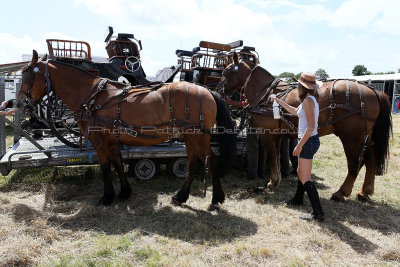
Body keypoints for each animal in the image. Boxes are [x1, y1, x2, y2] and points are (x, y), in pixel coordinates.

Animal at [17, 50, 236, 211]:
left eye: (28, 74)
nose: (19, 103)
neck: (93, 97)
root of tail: (208, 91)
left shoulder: (99, 141)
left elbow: (106, 167)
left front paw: (106, 197)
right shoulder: (113, 140)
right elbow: (118, 165)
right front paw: (124, 193)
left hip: (198, 137)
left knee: (210, 162)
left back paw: (215, 199)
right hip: (191, 138)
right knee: (193, 165)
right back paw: (180, 197)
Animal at [219, 52, 390, 203]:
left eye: (225, 72)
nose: (220, 90)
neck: (266, 94)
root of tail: (375, 92)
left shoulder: (267, 135)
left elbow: (272, 159)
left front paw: (272, 183)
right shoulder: (278, 136)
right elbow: (277, 159)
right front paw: (276, 180)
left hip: (351, 138)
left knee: (355, 164)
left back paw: (341, 193)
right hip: (366, 136)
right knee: (371, 159)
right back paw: (365, 192)